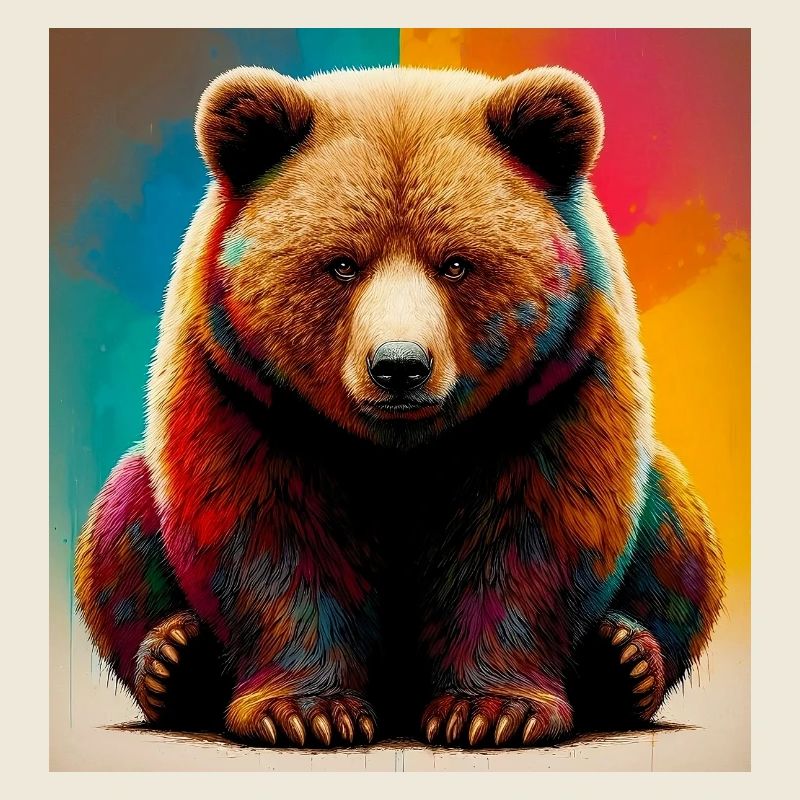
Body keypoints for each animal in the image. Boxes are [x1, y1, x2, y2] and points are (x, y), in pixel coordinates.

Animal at [75, 65, 725, 748]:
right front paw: (309, 710)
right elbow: (268, 532)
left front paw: (490, 709)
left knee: (679, 529)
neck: (400, 447)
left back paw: (624, 660)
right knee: (119, 520)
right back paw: (173, 659)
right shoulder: (245, 389)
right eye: (342, 264)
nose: (399, 366)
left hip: (664, 512)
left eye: (456, 263)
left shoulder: (554, 385)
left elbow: (530, 532)